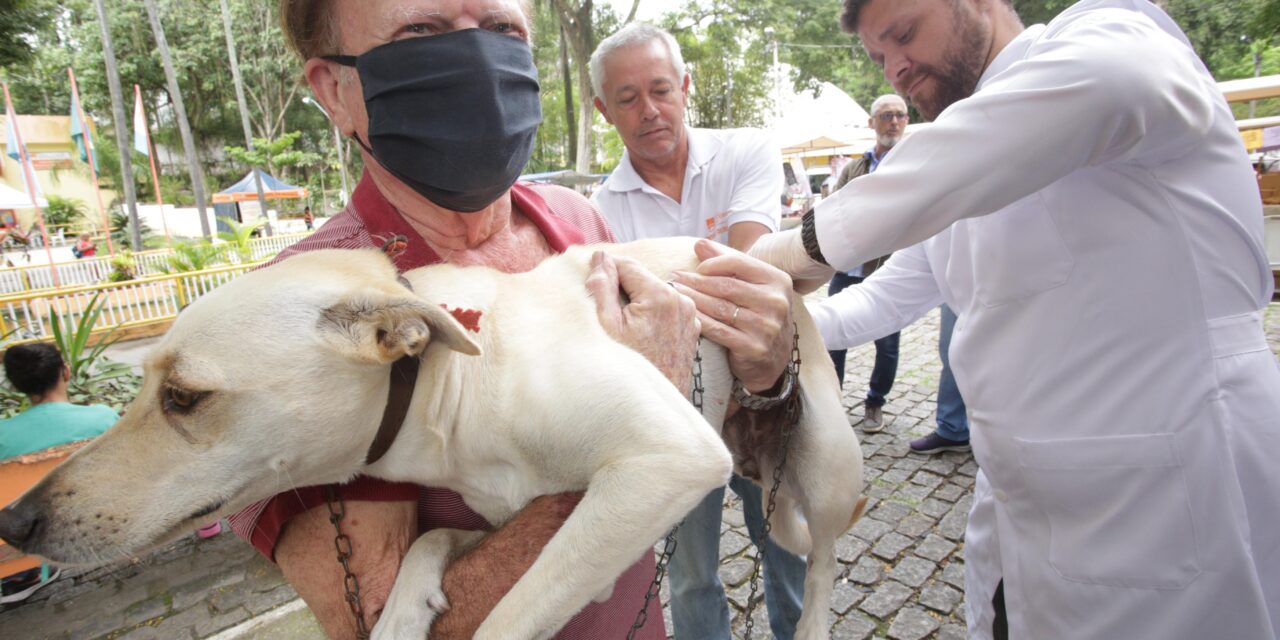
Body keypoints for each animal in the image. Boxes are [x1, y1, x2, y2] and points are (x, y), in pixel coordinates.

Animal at [0, 240, 865, 640]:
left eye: (183, 396)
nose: (15, 521)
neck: (451, 389)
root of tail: (759, 252)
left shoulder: (664, 456)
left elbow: (507, 617)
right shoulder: (506, 514)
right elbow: (431, 541)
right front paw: (404, 609)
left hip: (830, 474)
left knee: (823, 559)